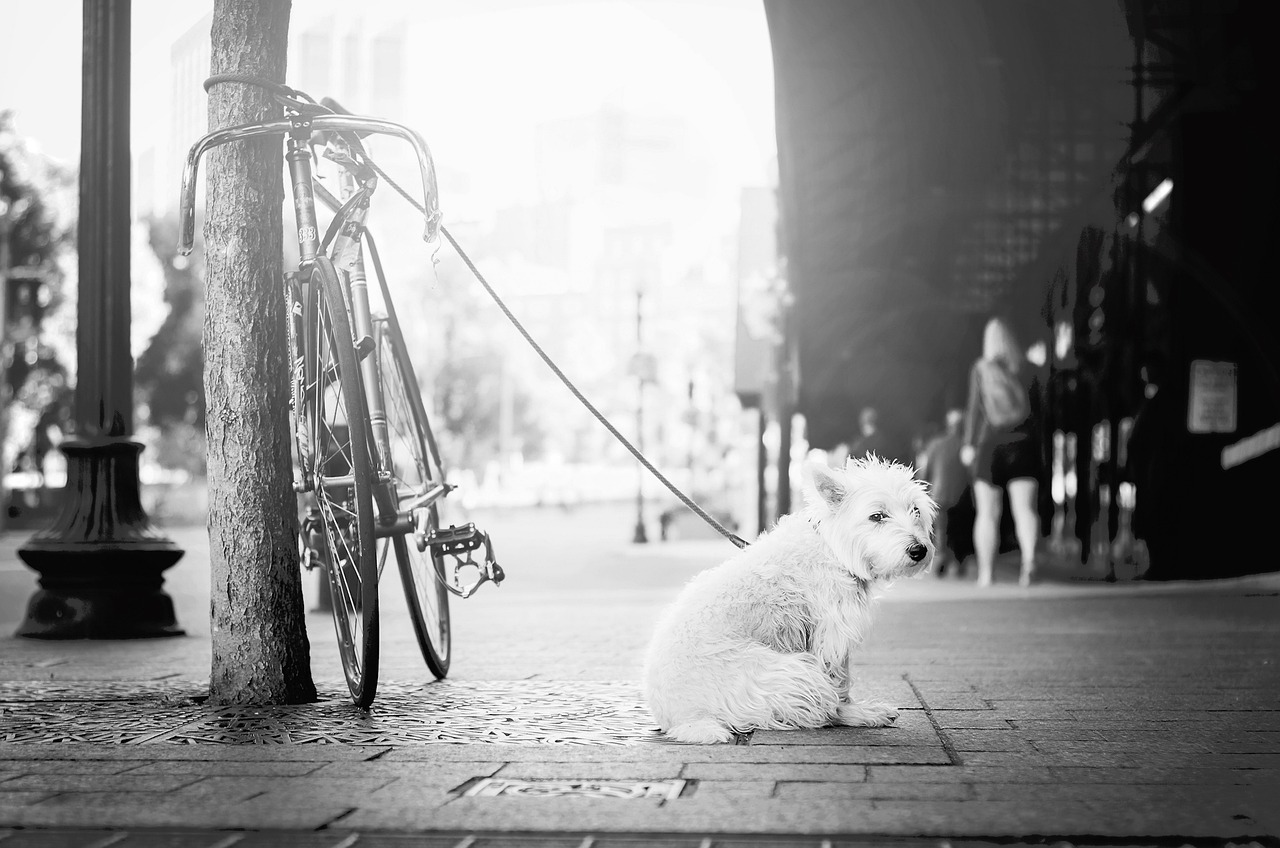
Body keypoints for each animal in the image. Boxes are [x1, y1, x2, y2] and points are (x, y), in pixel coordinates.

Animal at [645, 458, 936, 742]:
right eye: (877, 516)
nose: (919, 550)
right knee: (822, 710)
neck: (832, 549)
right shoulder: (832, 636)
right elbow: (839, 683)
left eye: (916, 510)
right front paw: (853, 709)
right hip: (794, 674)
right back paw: (860, 715)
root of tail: (683, 719)